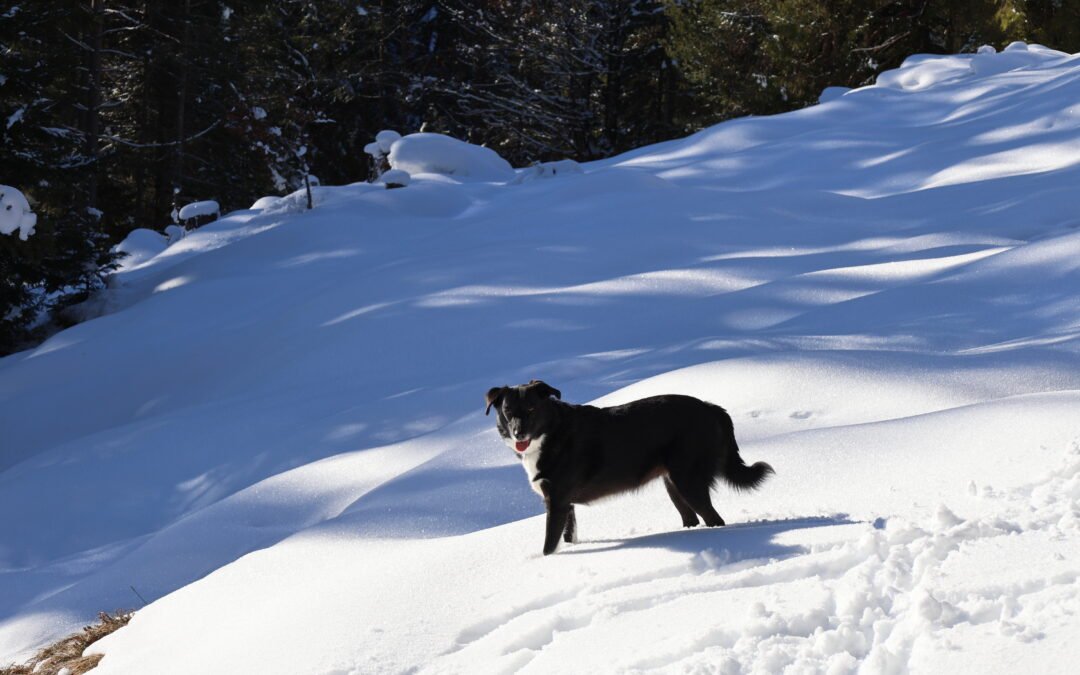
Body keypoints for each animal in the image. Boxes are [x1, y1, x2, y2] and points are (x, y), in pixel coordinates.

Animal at [486, 375, 773, 557]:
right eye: (508, 411)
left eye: (532, 409)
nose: (518, 434)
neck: (552, 433)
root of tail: (711, 407)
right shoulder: (565, 503)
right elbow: (567, 537)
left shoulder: (556, 502)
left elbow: (548, 545)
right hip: (673, 483)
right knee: (691, 518)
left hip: (689, 480)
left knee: (714, 519)